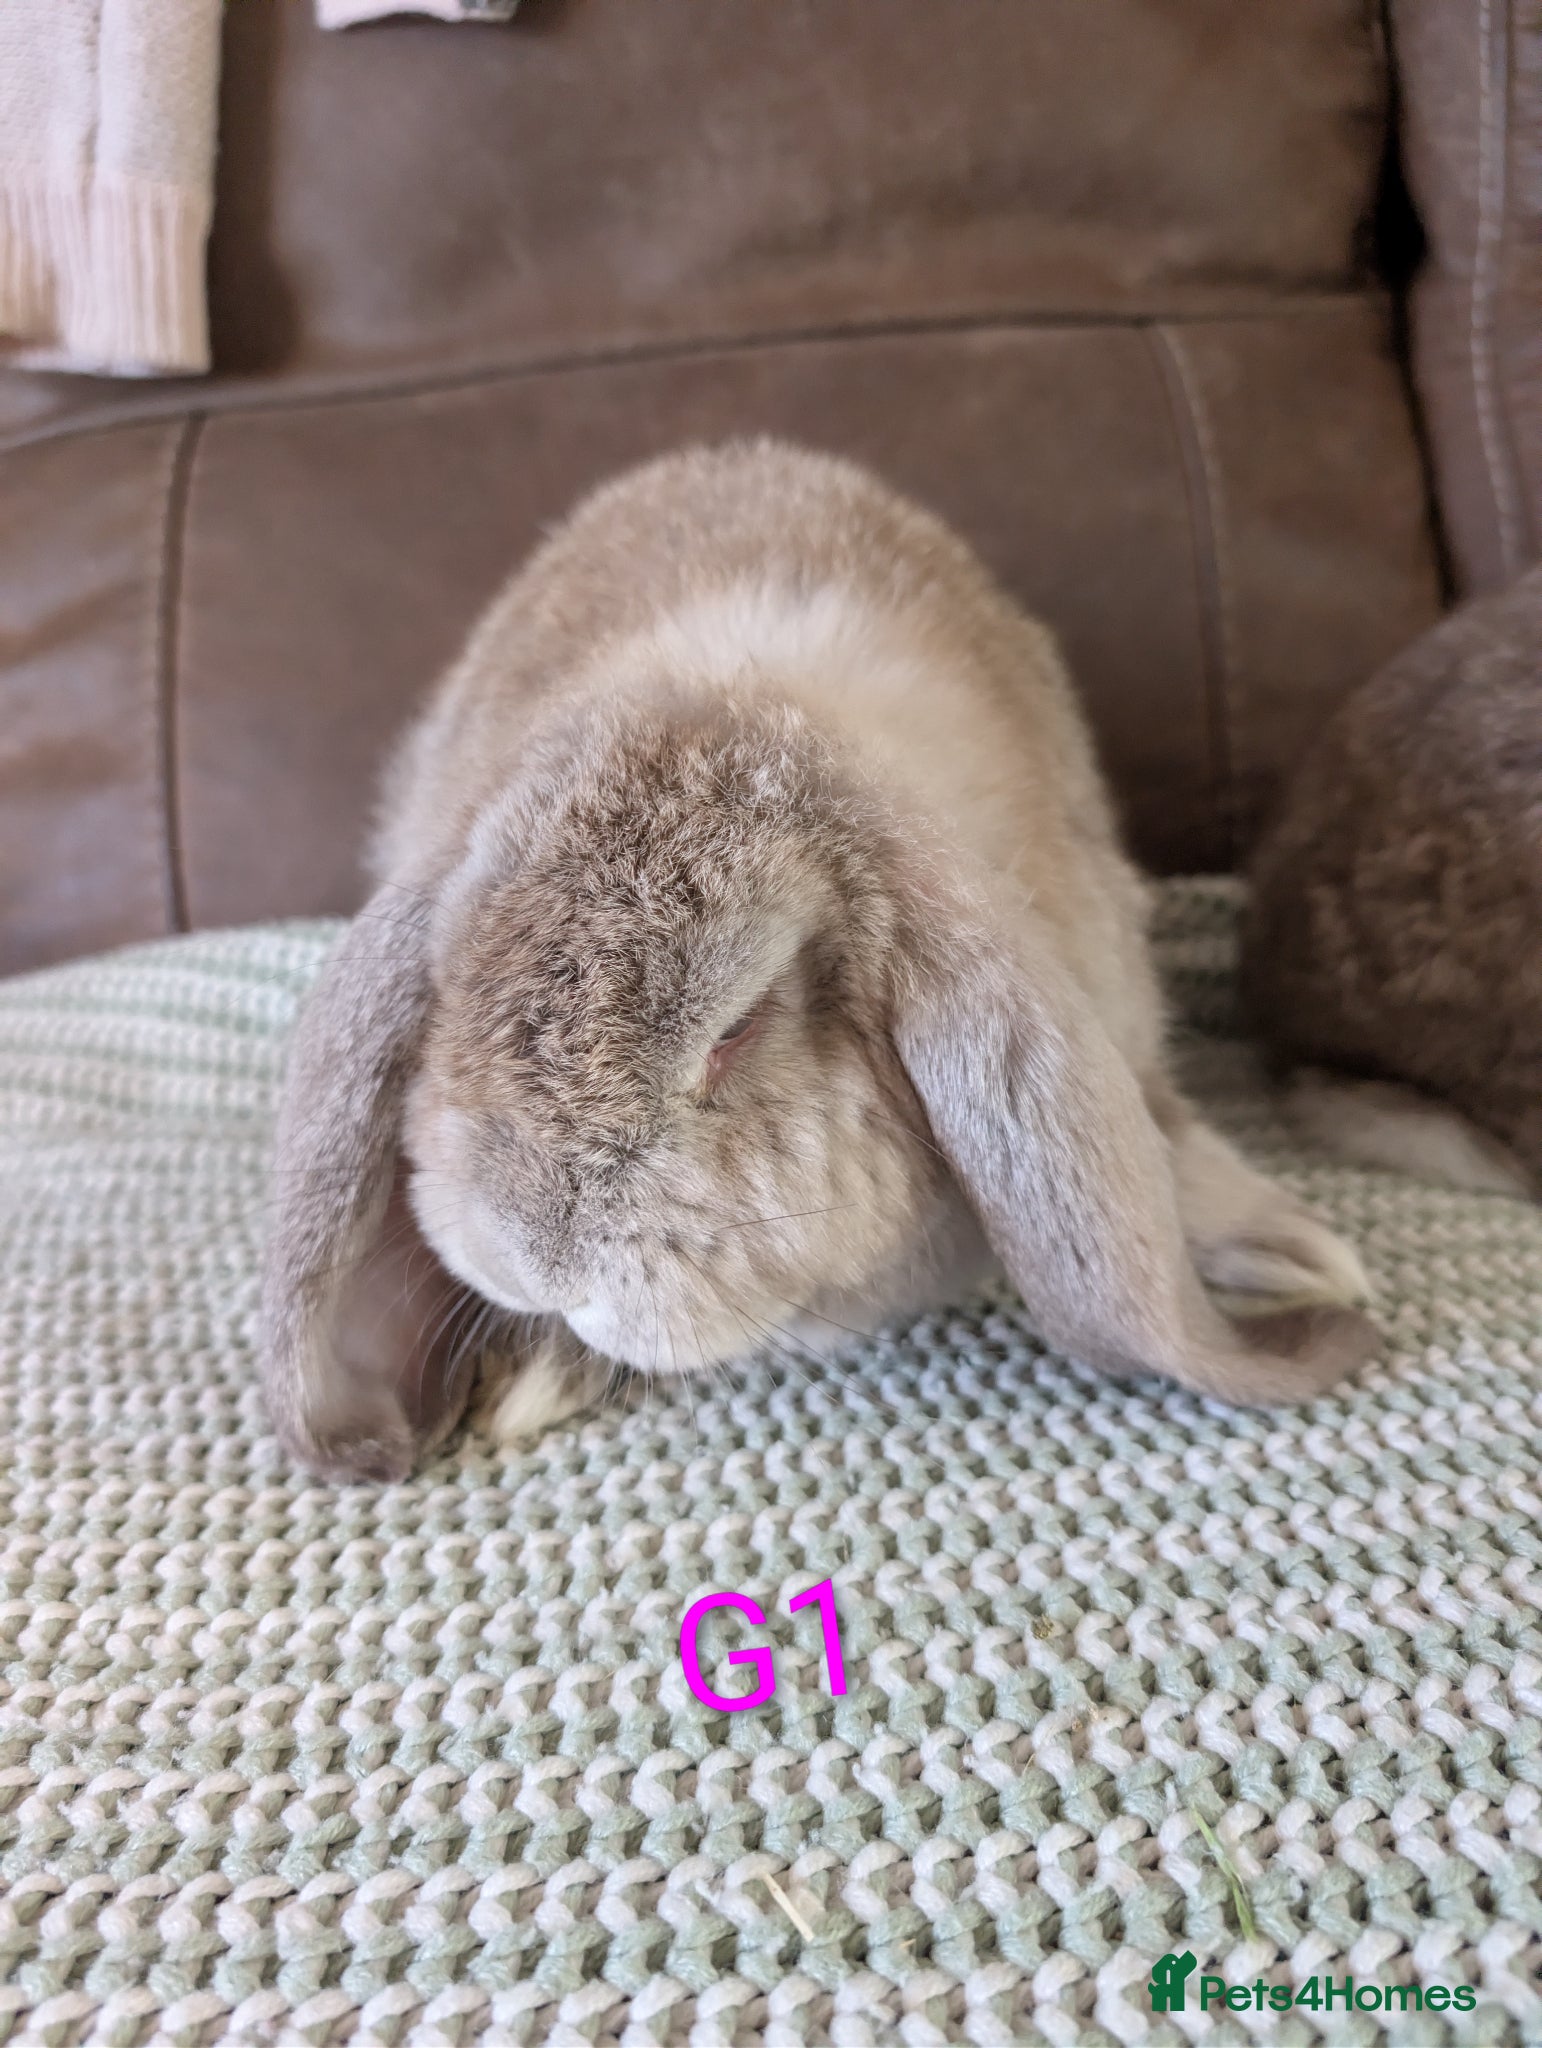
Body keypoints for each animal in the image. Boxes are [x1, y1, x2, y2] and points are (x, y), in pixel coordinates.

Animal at [260, 438, 1376, 1482]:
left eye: (736, 1027)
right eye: (449, 986)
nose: (531, 1261)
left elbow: (1170, 1132)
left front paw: (1299, 1254)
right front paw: (545, 1368)